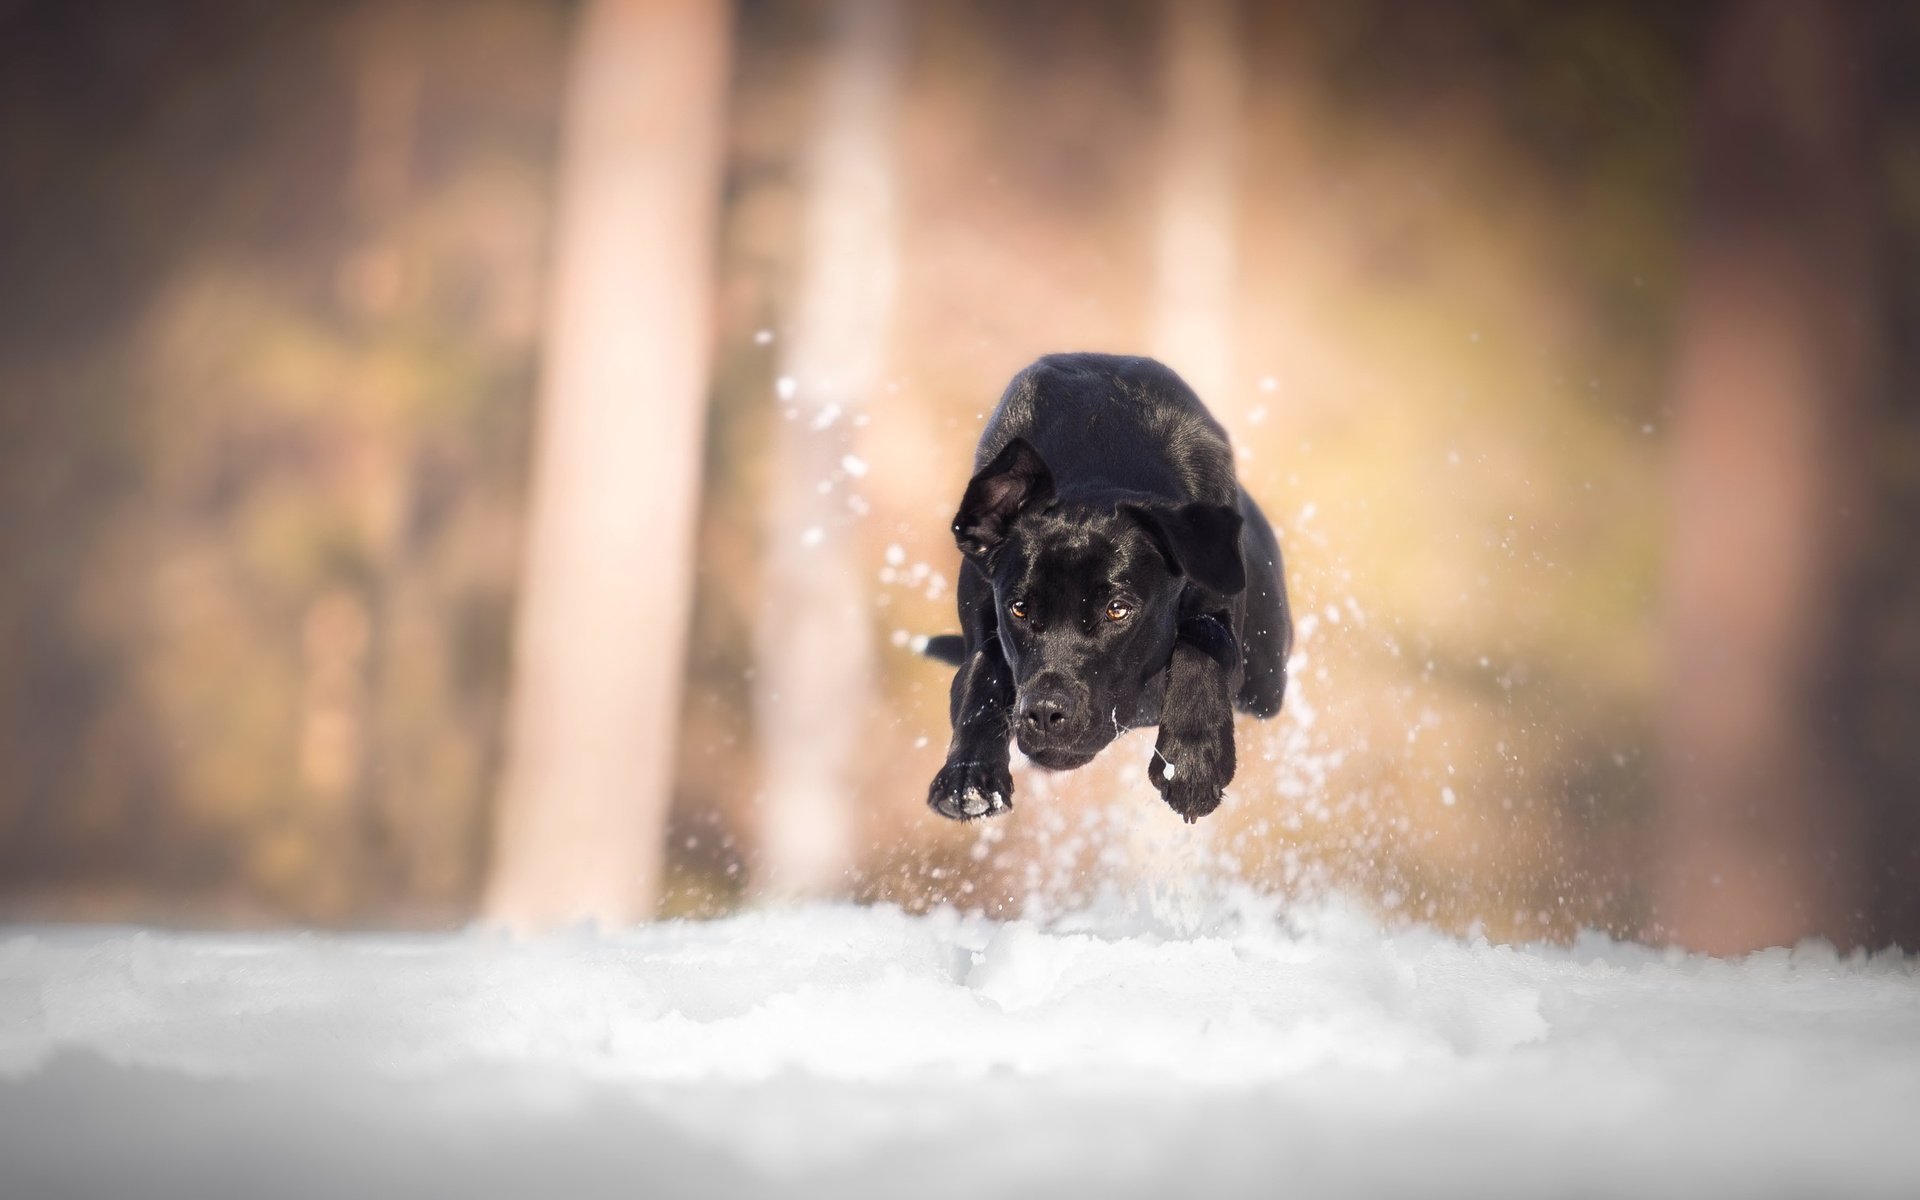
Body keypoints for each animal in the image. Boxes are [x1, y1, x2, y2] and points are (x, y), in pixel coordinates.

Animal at [925, 353, 1297, 821]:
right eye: (1020, 608)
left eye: (1118, 609)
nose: (1045, 712)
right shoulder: (984, 610)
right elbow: (981, 671)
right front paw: (969, 776)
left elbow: (1204, 636)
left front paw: (1192, 759)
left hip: (1266, 681)